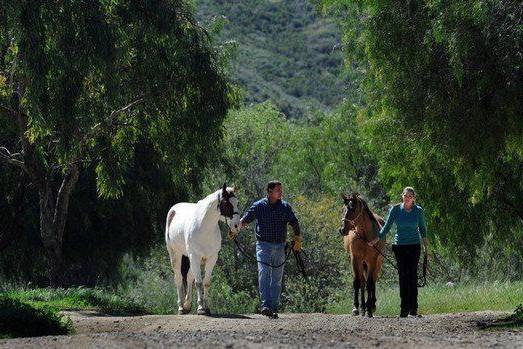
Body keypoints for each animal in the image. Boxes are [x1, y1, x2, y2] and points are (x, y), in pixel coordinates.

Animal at [165, 184, 241, 314]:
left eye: (237, 203)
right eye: (227, 203)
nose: (237, 226)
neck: (204, 227)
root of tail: (173, 210)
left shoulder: (211, 258)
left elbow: (206, 283)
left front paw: (206, 307)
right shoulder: (195, 256)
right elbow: (199, 282)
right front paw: (200, 308)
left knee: (189, 277)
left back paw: (187, 305)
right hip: (176, 254)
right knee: (179, 278)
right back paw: (181, 307)